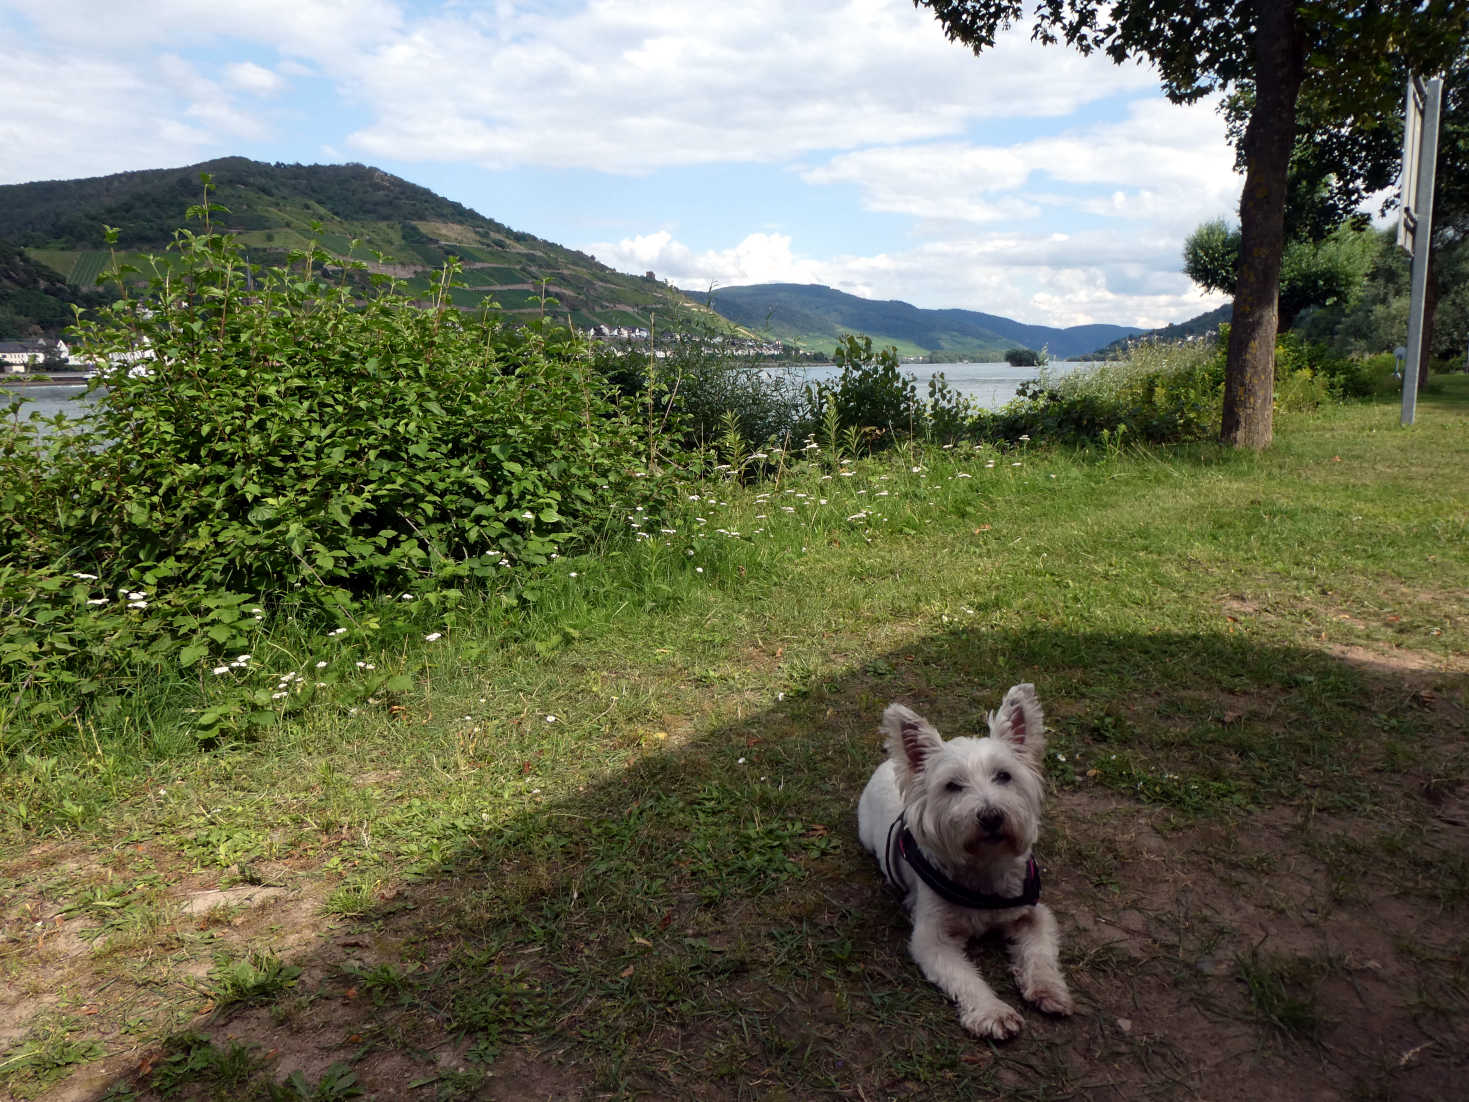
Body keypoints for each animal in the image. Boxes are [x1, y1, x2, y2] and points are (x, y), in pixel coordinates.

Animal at [857, 687, 1075, 1040]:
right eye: (952, 786)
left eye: (1004, 776)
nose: (991, 816)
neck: (984, 866)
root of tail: (888, 763)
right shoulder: (932, 938)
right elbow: (965, 977)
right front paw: (992, 1011)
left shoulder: (1032, 913)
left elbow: (1040, 952)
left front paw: (1049, 989)